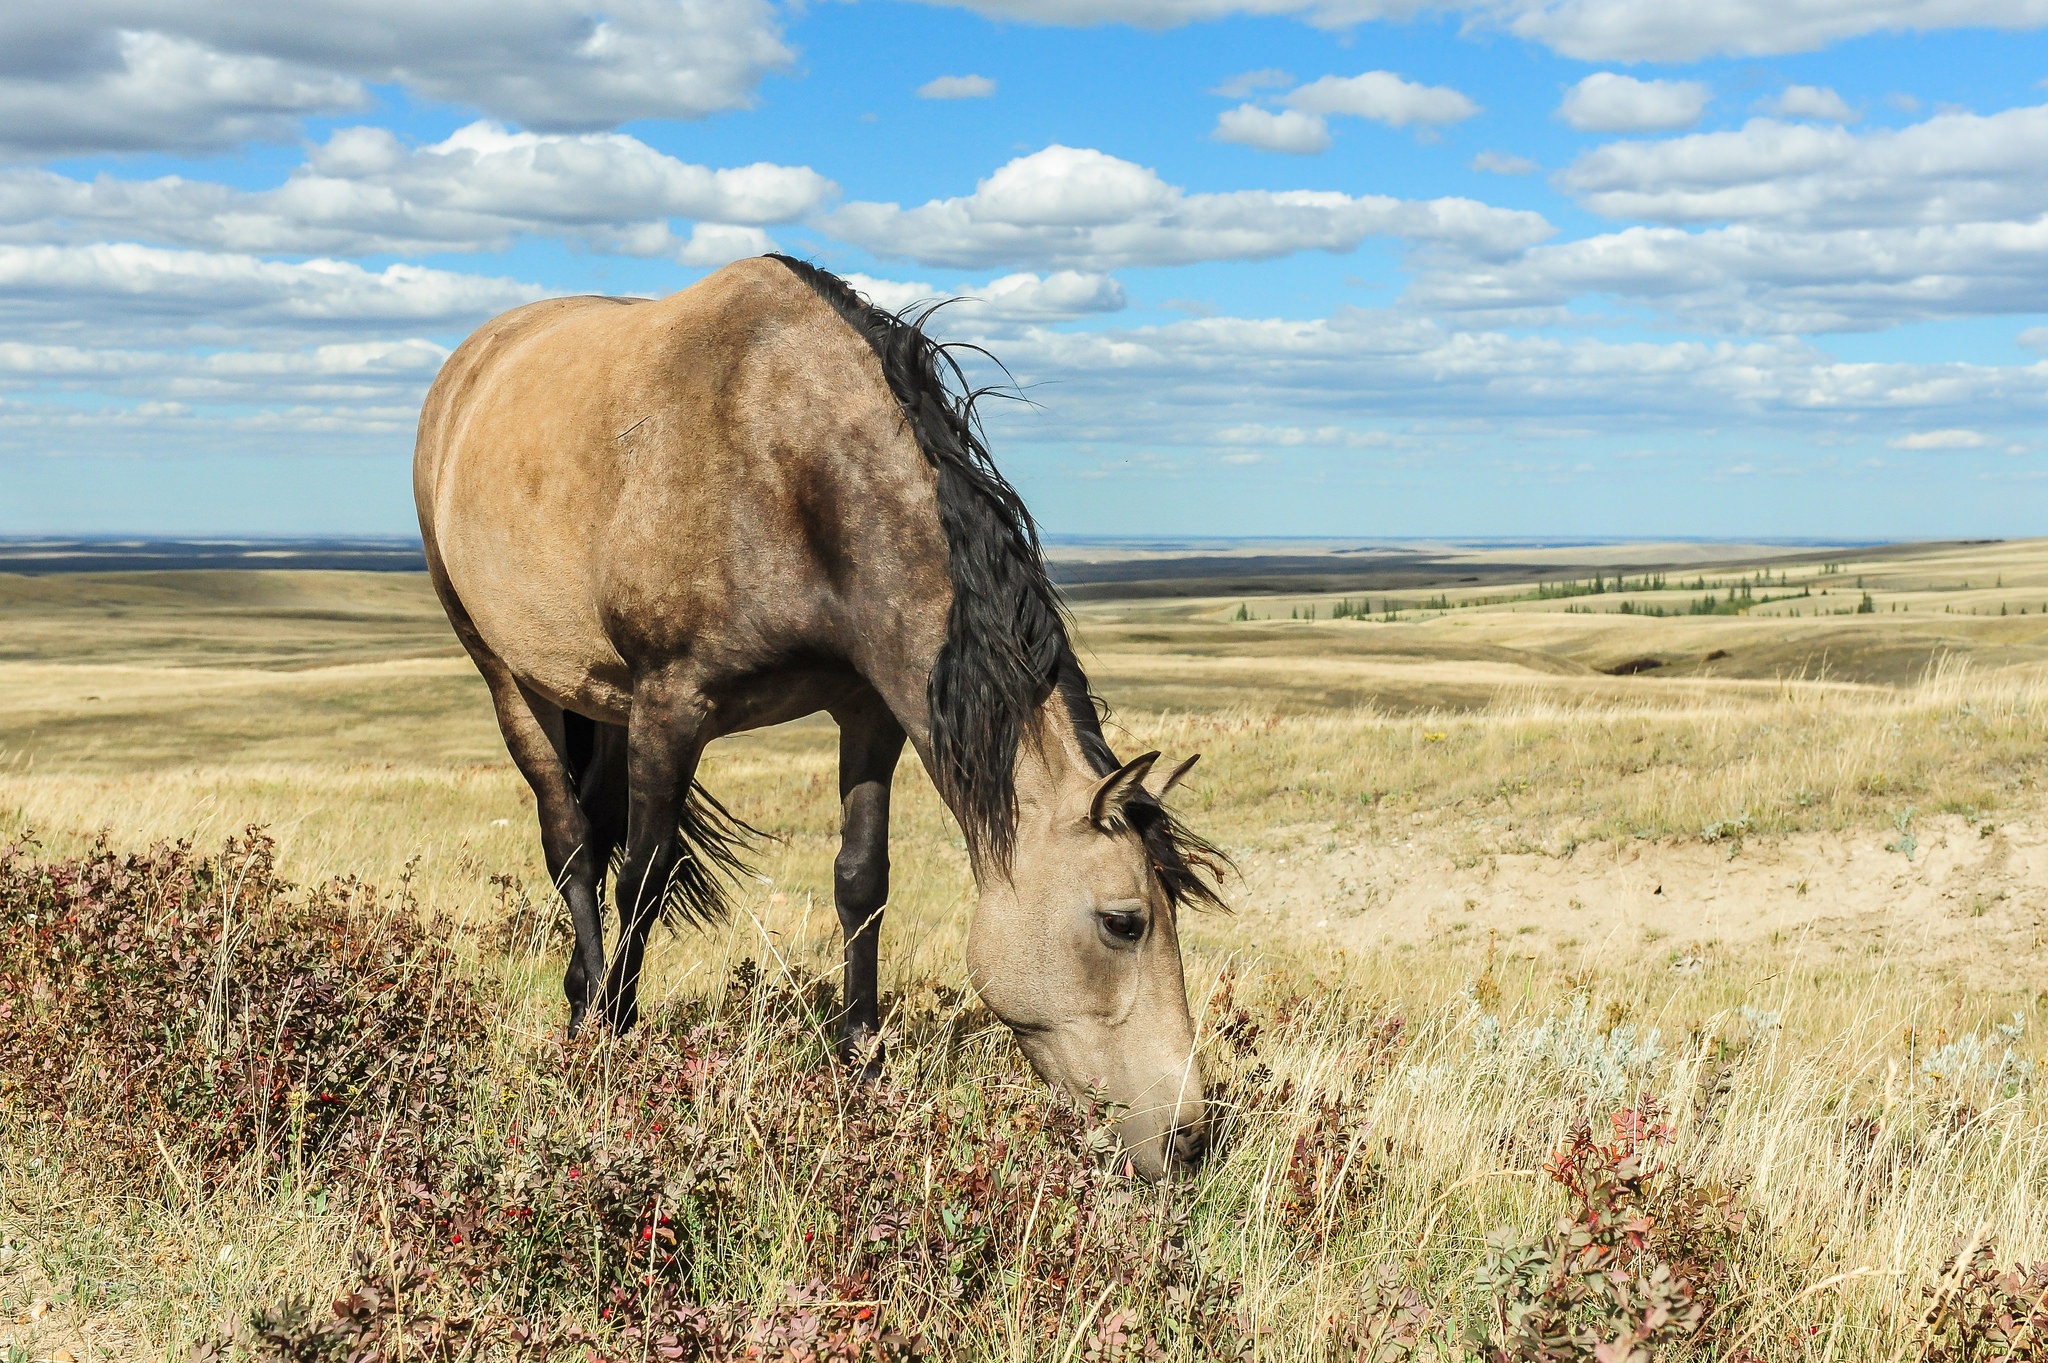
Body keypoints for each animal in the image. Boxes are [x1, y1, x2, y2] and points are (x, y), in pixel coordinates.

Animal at [407, 259, 1220, 1170]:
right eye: (1124, 922)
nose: (1190, 1138)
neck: (787, 458)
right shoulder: (671, 706)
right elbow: (643, 880)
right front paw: (617, 1043)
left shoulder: (869, 708)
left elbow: (862, 880)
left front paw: (860, 1064)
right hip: (506, 674)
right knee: (572, 842)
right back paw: (588, 1015)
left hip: (599, 695)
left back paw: (582, 992)